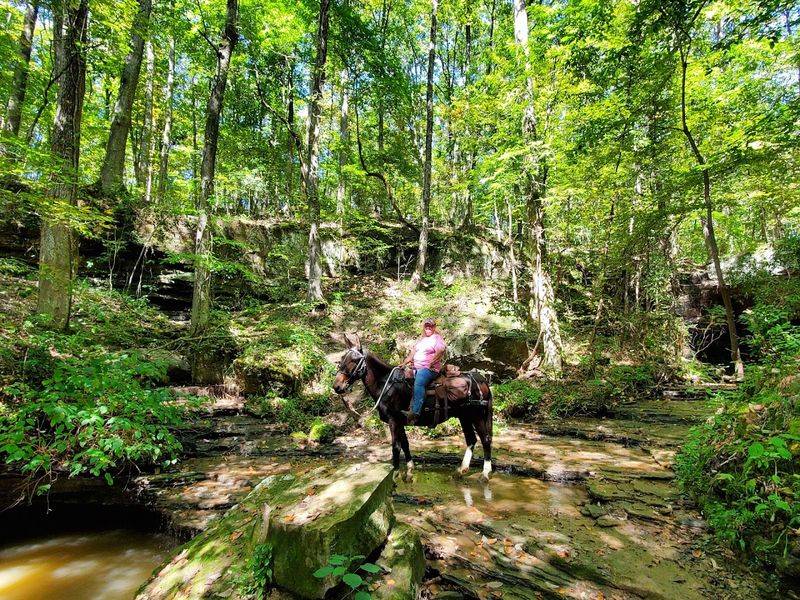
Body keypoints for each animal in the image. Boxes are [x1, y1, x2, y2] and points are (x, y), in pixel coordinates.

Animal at [332, 333, 493, 483]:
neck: (386, 385)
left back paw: (485, 473)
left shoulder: (393, 420)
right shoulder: (399, 422)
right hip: (464, 416)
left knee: (485, 439)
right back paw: (461, 470)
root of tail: (481, 379)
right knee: (471, 439)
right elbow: (405, 444)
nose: (337, 386)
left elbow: (396, 446)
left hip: (477, 416)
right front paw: (409, 470)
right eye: (342, 358)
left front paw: (395, 474)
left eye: (354, 360)